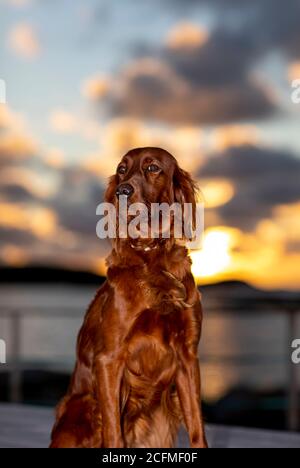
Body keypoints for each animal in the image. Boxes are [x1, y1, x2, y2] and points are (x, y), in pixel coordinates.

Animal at [50, 148, 207, 448]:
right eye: (121, 169)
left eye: (153, 167)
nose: (122, 191)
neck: (150, 257)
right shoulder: (109, 359)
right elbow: (114, 431)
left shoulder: (187, 357)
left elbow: (197, 428)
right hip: (82, 409)